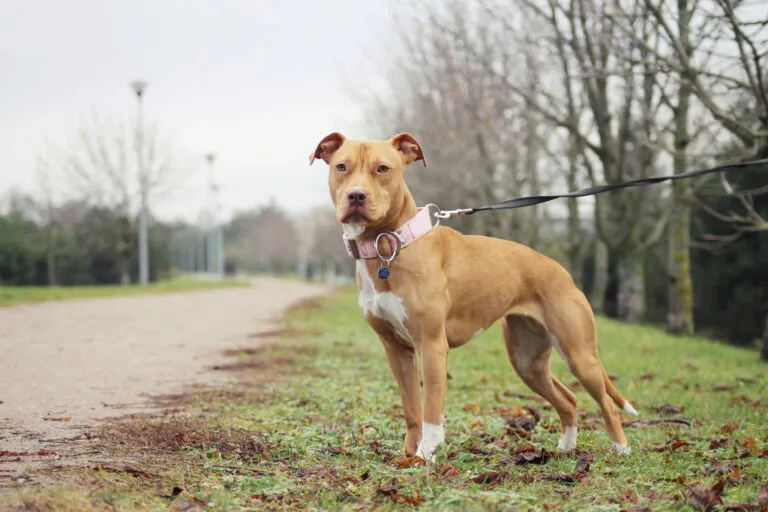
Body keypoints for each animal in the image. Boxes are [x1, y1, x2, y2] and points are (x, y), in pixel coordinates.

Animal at [308, 131, 640, 460]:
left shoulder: (431, 345)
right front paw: (407, 455)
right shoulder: (396, 350)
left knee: (606, 402)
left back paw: (620, 448)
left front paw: (426, 455)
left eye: (383, 168)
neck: (389, 243)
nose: (356, 196)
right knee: (568, 399)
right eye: (341, 167)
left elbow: (431, 410)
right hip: (527, 361)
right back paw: (566, 448)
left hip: (578, 354)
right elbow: (412, 409)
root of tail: (562, 271)